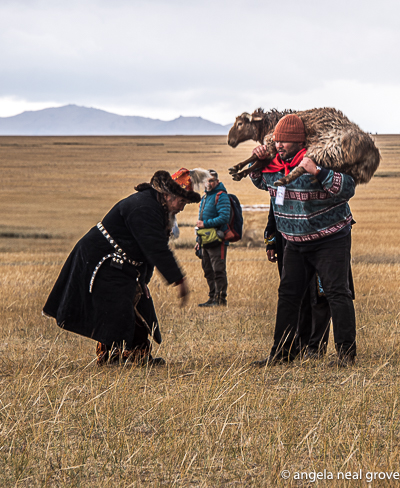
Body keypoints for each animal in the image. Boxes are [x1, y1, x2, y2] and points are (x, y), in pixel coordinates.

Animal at [227, 107, 380, 186]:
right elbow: (259, 160)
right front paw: (239, 171)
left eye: (240, 124)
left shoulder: (271, 141)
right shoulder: (274, 149)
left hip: (324, 148)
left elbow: (257, 159)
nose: (229, 141)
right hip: (345, 166)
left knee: (301, 168)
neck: (271, 124)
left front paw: (237, 170)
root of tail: (369, 152)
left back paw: (282, 181)